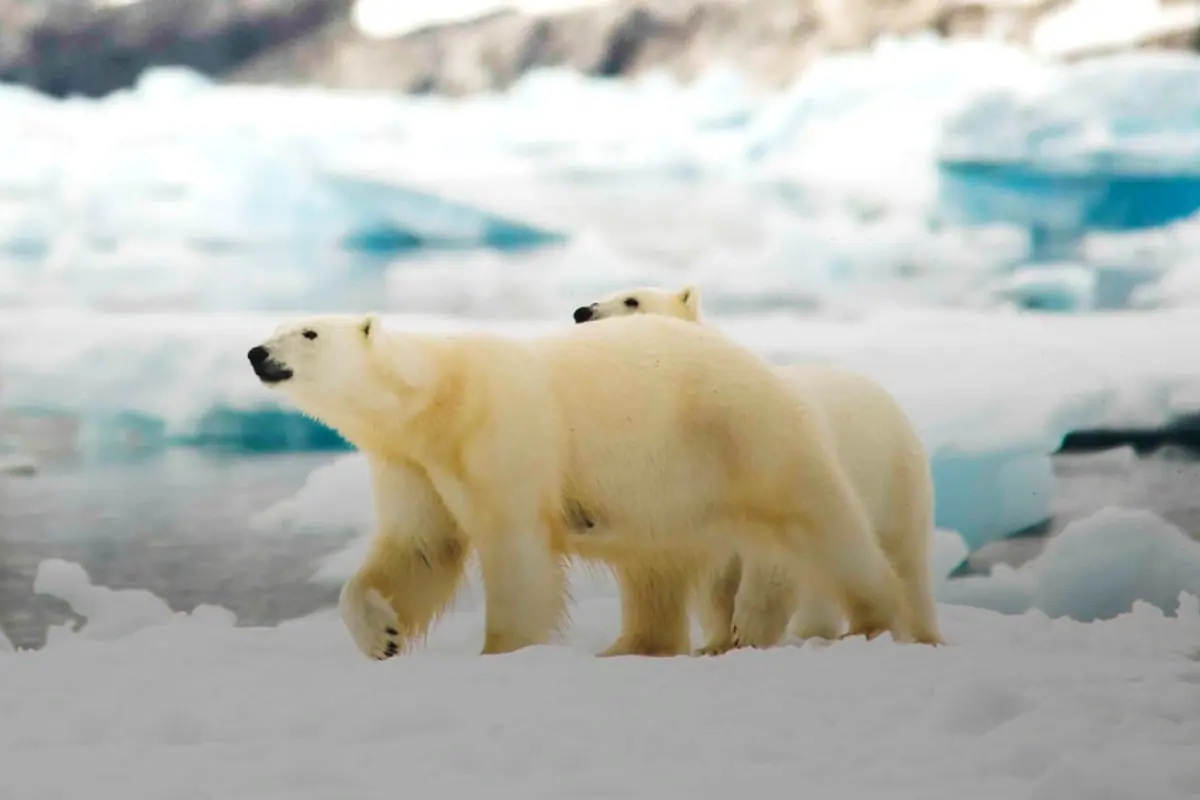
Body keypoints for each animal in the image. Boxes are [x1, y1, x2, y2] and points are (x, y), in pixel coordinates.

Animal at [247, 312, 921, 660]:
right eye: (277, 325)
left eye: (308, 332)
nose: (256, 352)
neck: (437, 396)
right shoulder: (411, 461)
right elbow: (420, 547)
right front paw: (381, 633)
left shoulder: (499, 428)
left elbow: (516, 548)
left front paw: (503, 651)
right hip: (672, 490)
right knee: (655, 570)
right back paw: (632, 646)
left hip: (741, 436)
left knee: (822, 528)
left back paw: (879, 621)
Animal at [572, 284, 942, 654]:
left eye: (631, 300)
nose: (582, 313)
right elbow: (716, 579)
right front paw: (716, 643)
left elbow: (772, 559)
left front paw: (747, 632)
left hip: (894, 479)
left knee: (901, 559)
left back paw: (921, 634)